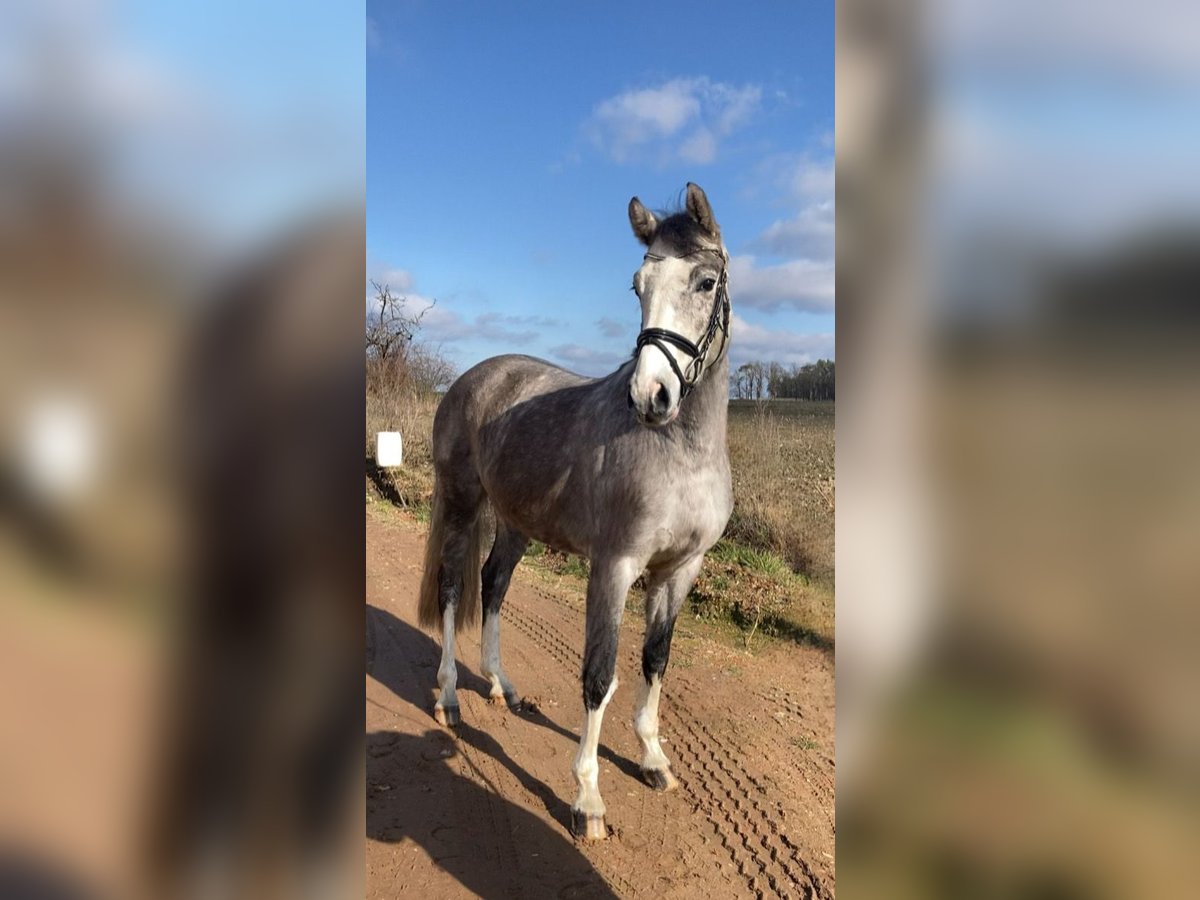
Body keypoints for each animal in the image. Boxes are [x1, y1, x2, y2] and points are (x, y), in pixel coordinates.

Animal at [417, 184, 734, 844]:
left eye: (706, 281)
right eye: (638, 285)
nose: (650, 397)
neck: (682, 451)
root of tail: (476, 376)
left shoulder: (679, 571)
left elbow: (654, 660)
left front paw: (653, 759)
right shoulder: (614, 568)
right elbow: (599, 674)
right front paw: (587, 796)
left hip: (515, 523)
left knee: (493, 584)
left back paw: (501, 687)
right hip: (461, 504)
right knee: (455, 588)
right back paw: (451, 697)